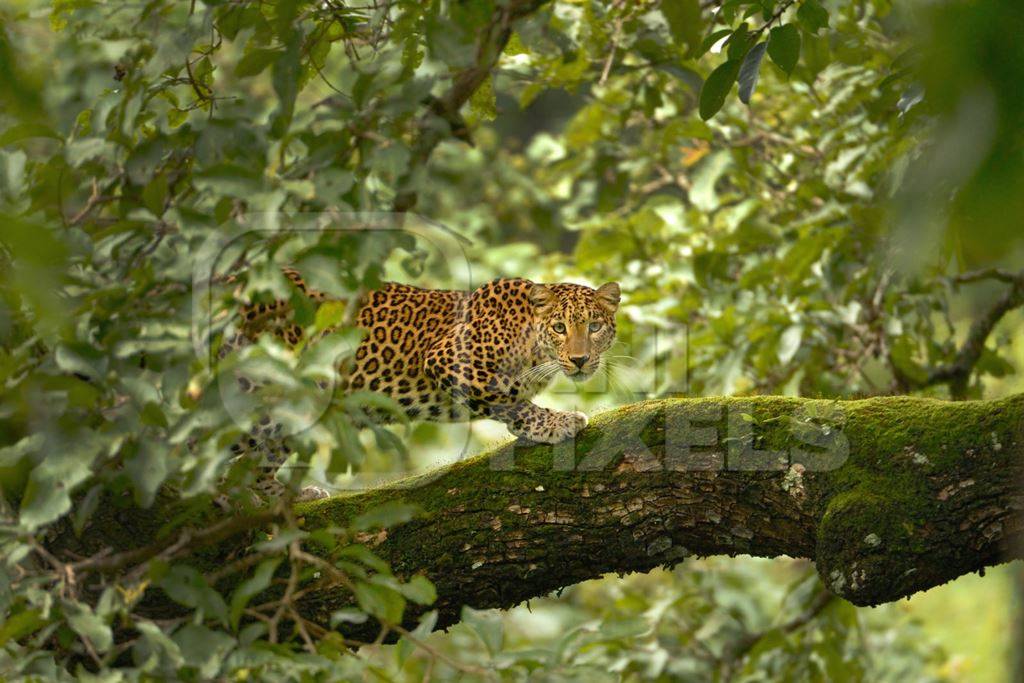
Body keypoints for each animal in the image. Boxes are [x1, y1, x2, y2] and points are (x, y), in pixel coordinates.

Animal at [216, 270, 618, 499]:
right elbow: (510, 403)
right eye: (560, 327)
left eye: (594, 326)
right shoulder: (449, 359)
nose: (580, 360)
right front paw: (556, 423)